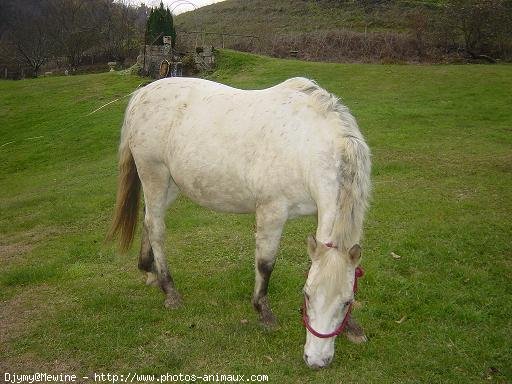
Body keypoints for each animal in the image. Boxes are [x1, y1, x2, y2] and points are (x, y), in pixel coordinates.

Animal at [108, 76, 372, 368]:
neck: (306, 145)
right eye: (307, 294)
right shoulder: (271, 211)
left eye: (347, 302)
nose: (316, 360)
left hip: (171, 184)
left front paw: (353, 328)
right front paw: (263, 312)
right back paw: (170, 291)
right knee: (156, 228)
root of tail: (142, 93)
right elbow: (266, 264)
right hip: (154, 175)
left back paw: (149, 271)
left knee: (148, 220)